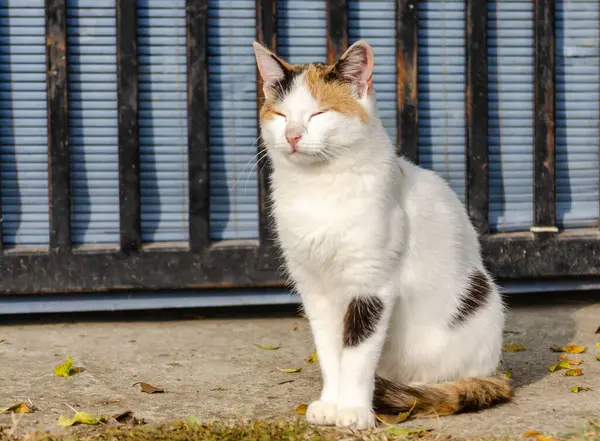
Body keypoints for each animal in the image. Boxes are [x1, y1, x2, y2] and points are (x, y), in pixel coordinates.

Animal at [252, 39, 510, 428]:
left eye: (319, 114)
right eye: (281, 115)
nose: (292, 135)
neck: (319, 189)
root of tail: (496, 372)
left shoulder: (371, 287)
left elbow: (357, 353)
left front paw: (354, 410)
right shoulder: (315, 289)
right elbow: (331, 351)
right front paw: (331, 403)